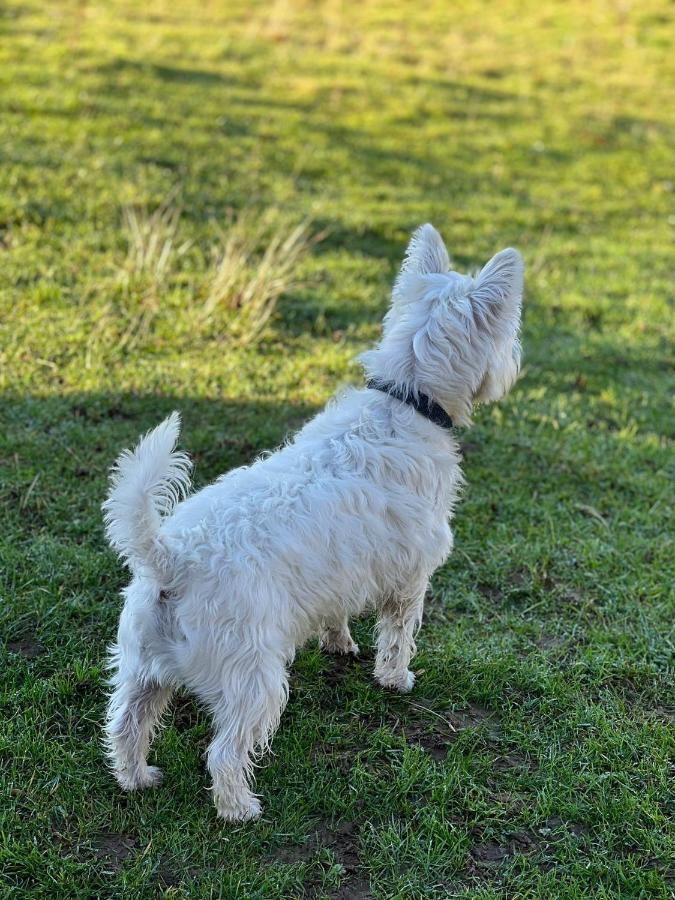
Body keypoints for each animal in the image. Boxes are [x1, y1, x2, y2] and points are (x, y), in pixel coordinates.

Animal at [103, 221, 524, 820]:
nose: (517, 360)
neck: (406, 399)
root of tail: (169, 560)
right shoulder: (411, 577)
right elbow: (398, 636)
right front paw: (396, 679)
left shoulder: (340, 575)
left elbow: (337, 614)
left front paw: (339, 644)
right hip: (254, 676)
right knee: (224, 751)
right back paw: (241, 809)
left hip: (142, 666)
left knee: (126, 724)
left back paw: (137, 779)